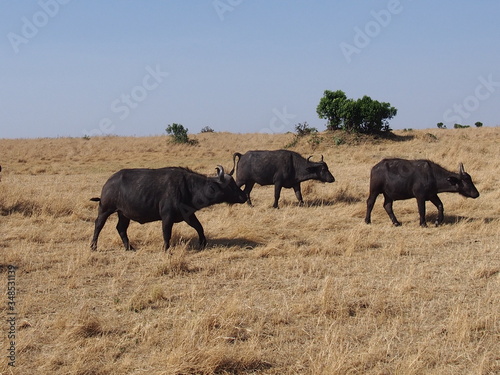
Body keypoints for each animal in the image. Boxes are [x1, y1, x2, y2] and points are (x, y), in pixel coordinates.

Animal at [91, 165, 247, 251]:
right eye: (230, 185)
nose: (244, 196)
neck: (188, 188)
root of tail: (109, 182)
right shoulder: (167, 217)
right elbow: (167, 233)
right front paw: (166, 249)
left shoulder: (188, 215)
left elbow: (199, 227)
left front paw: (202, 243)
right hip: (105, 209)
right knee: (98, 225)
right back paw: (93, 246)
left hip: (123, 214)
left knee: (121, 228)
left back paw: (129, 247)